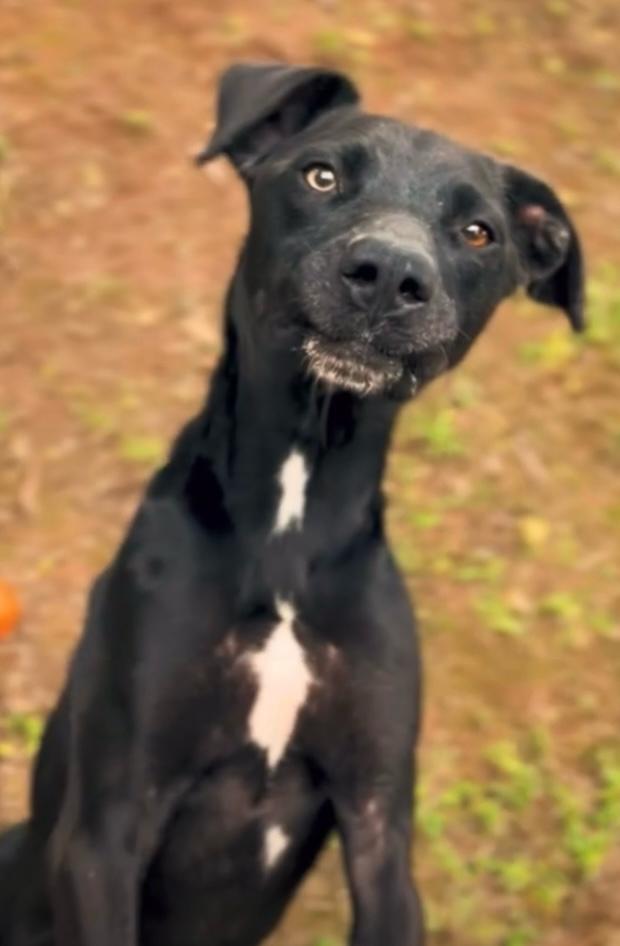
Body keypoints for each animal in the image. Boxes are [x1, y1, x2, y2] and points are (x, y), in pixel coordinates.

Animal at [0, 62, 580, 940]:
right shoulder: (106, 829)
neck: (291, 527)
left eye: (478, 232)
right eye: (321, 175)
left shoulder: (379, 830)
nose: (390, 276)